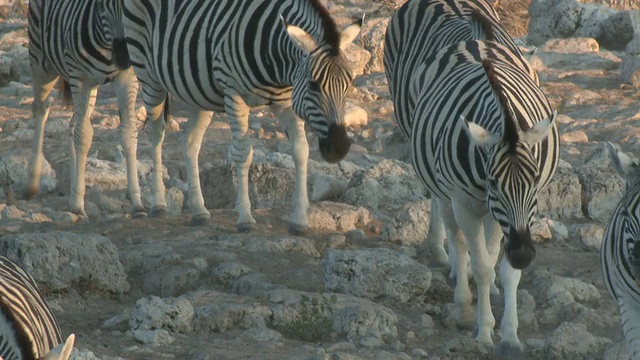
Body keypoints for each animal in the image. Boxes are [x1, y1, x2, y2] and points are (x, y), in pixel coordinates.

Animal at [26, 0, 145, 219]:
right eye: (105, 4)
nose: (123, 58)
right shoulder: (80, 77)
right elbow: (84, 135)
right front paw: (79, 206)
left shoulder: (126, 77)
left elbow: (128, 132)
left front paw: (137, 203)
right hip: (41, 60)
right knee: (41, 109)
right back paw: (32, 183)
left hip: (90, 86)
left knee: (73, 123)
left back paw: (72, 190)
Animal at [124, 0, 362, 232]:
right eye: (313, 85)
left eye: (348, 84)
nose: (339, 148)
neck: (277, 63)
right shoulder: (234, 95)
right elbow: (244, 154)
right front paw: (245, 218)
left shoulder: (286, 102)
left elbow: (301, 150)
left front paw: (300, 219)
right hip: (147, 74)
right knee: (157, 135)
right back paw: (158, 204)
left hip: (197, 91)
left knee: (190, 142)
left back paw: (199, 211)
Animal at [408, 38, 556, 352]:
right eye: (494, 183)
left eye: (535, 180)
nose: (523, 255)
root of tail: (473, 42)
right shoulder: (465, 203)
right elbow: (482, 267)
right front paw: (484, 329)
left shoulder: (508, 219)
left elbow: (506, 270)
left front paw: (510, 335)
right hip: (447, 196)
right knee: (458, 241)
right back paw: (464, 307)